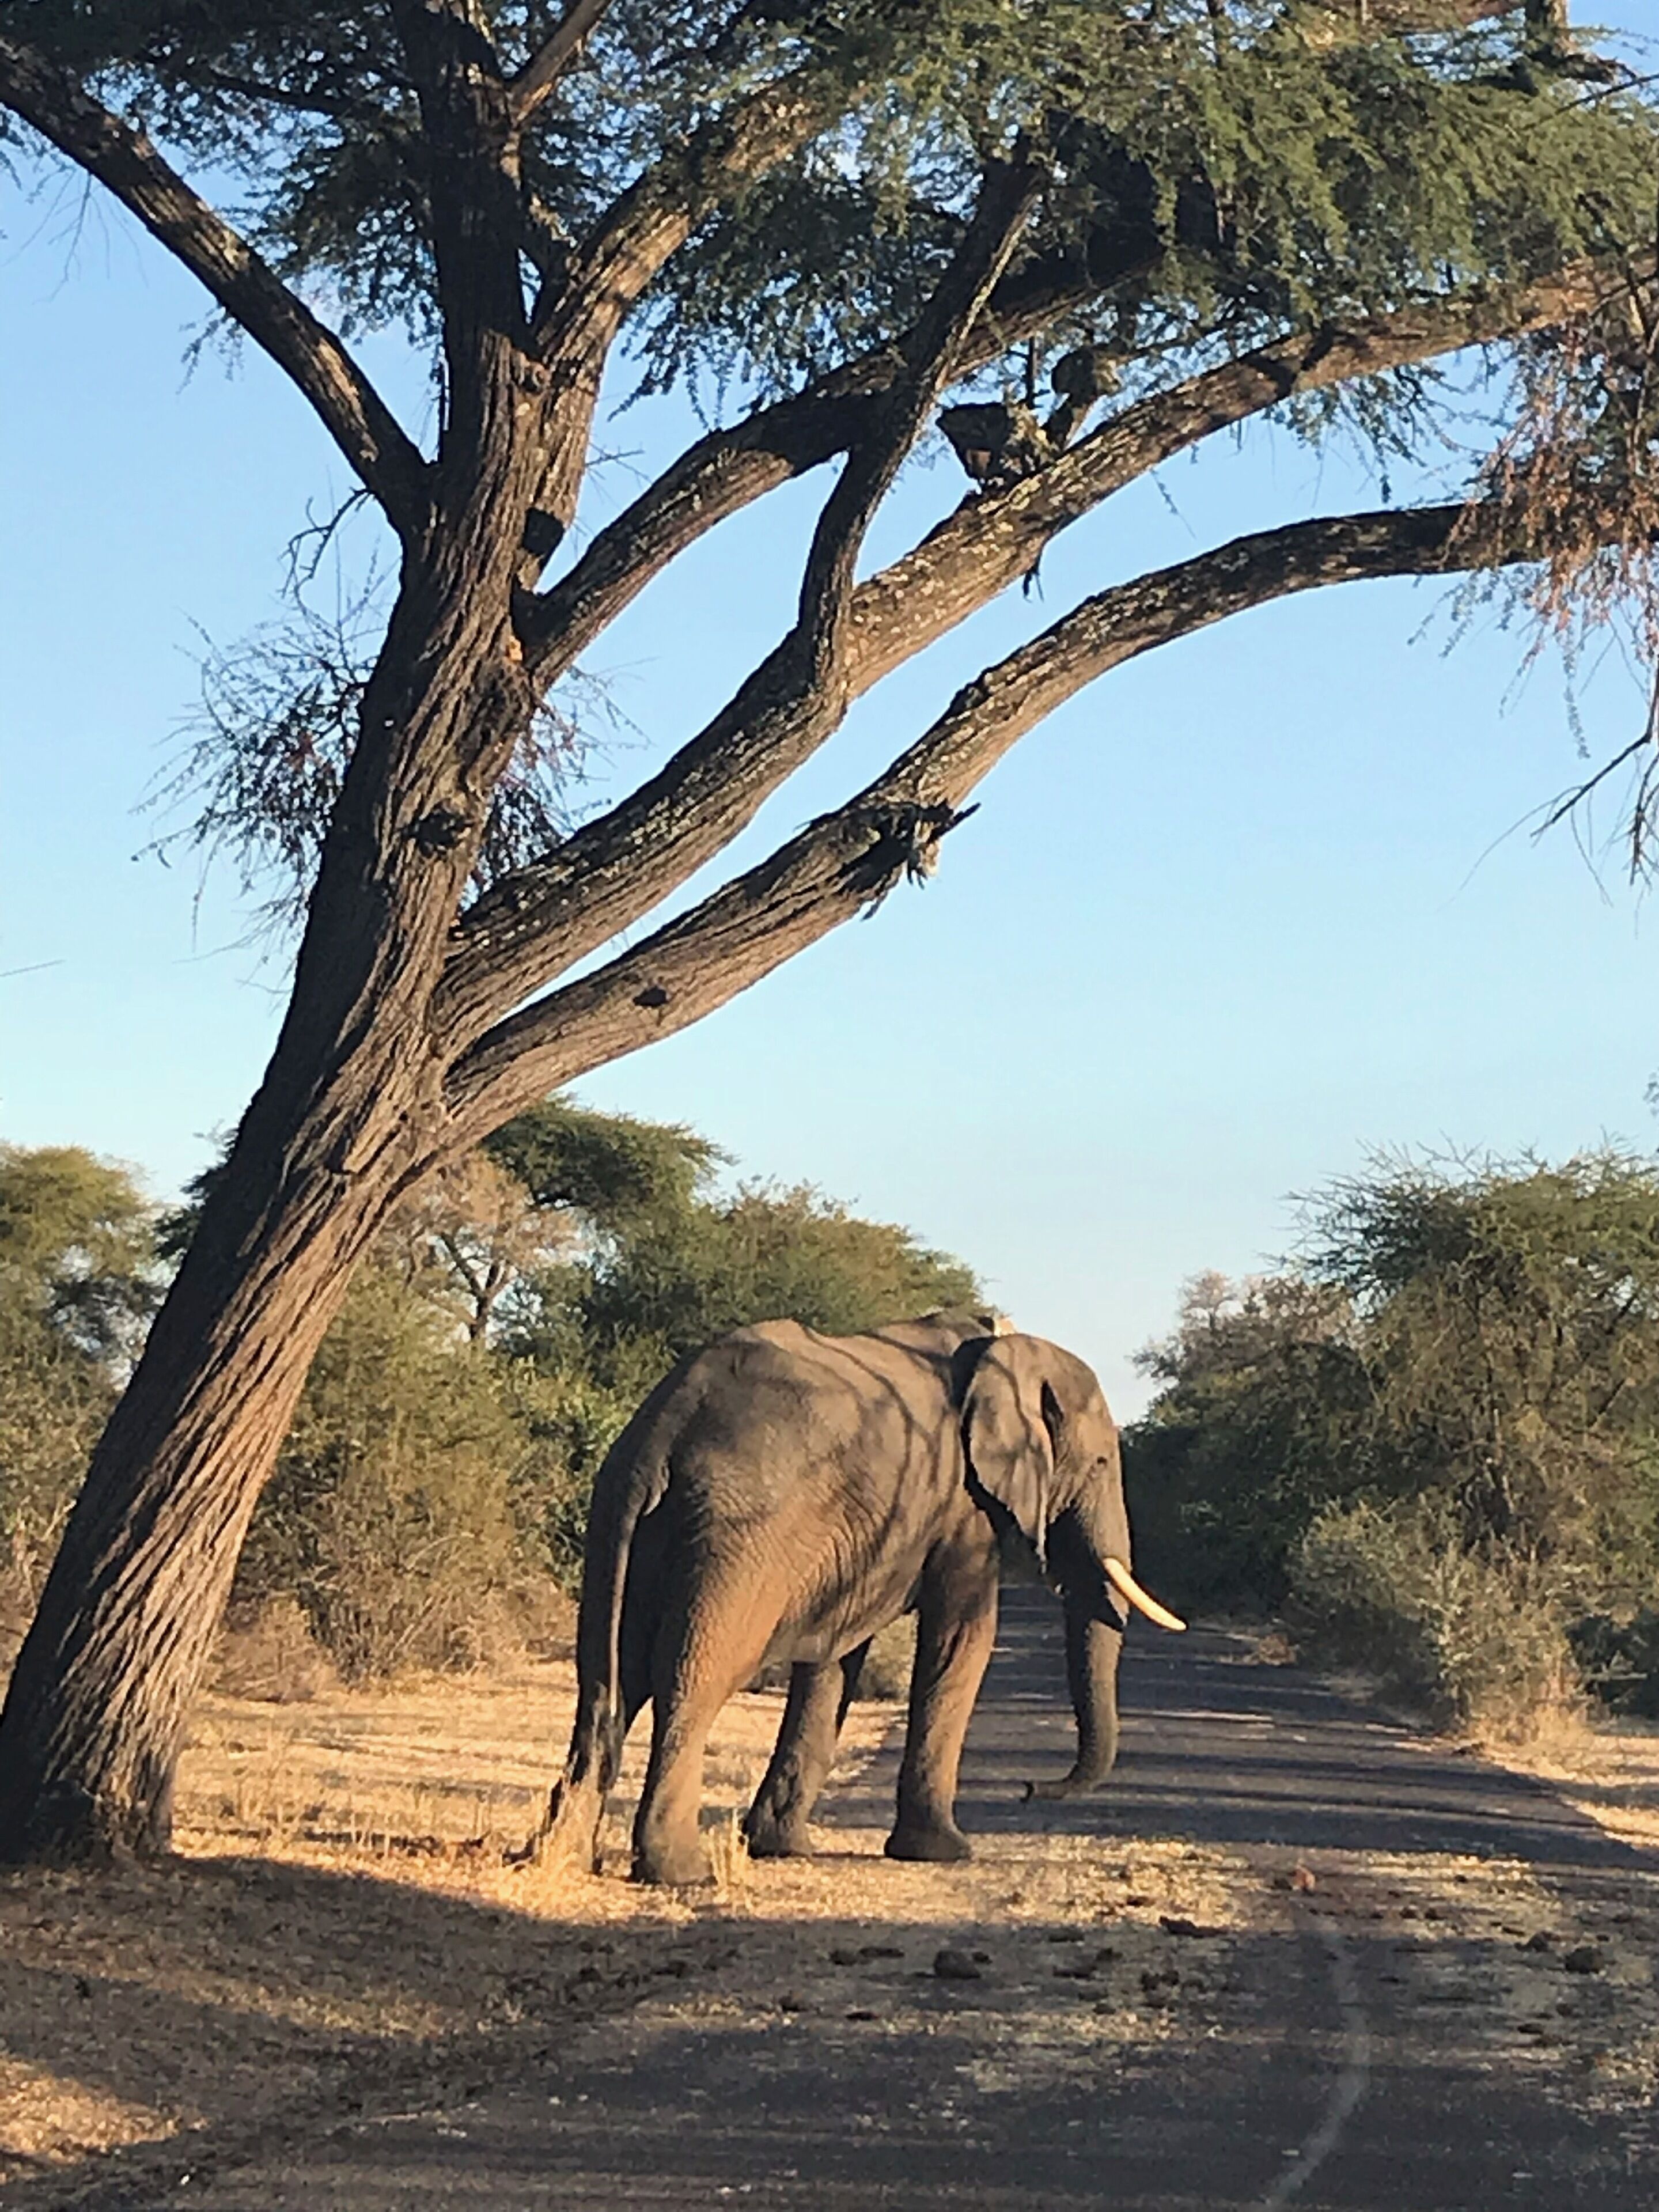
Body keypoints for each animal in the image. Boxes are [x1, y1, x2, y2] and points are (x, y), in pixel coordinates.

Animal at [541, 1310, 1184, 1886]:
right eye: (1099, 1462)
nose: (1026, 1788)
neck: (1005, 1347)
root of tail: (663, 1432)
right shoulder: (965, 1504)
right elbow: (963, 1640)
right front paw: (945, 1852)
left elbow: (834, 1657)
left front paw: (783, 1846)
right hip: (741, 1534)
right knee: (692, 1681)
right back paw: (682, 1873)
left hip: (620, 1518)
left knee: (608, 1684)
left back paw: (563, 1856)